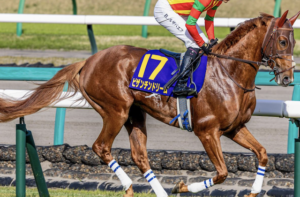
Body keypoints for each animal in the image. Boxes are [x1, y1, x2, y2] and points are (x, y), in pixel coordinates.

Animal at [0, 11, 298, 196]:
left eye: (294, 41)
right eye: (283, 40)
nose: (287, 77)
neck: (229, 73)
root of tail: (89, 60)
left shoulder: (235, 128)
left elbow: (262, 154)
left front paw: (253, 191)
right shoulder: (207, 131)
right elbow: (223, 172)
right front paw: (182, 187)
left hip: (135, 113)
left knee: (140, 155)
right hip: (116, 110)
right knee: (102, 147)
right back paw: (130, 187)